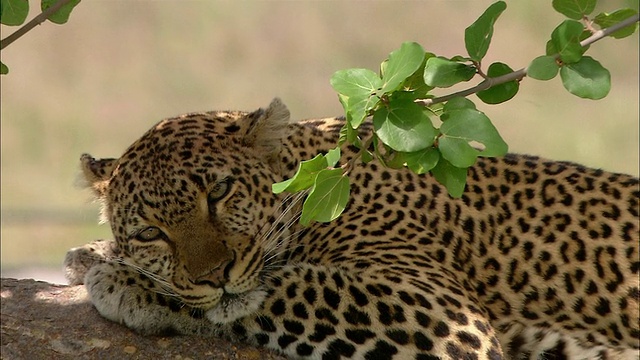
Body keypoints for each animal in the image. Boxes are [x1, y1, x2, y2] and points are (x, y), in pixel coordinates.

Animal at [66, 98, 640, 360]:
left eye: (220, 191)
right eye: (150, 233)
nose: (215, 275)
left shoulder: (444, 317)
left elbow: (290, 286)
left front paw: (123, 280)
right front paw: (98, 253)